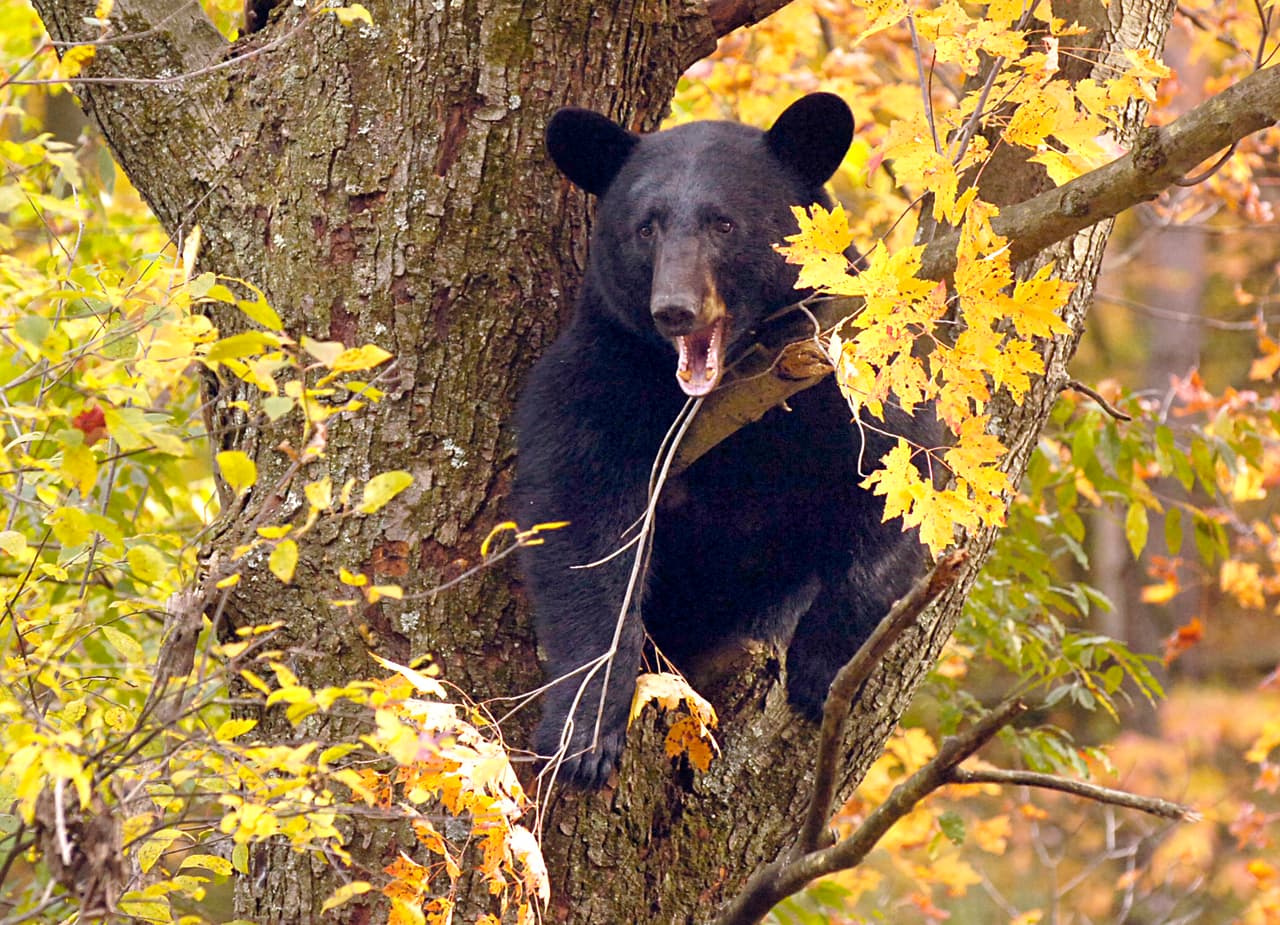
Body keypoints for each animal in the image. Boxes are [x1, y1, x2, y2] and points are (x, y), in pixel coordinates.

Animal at [514, 93, 936, 788]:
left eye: (724, 224)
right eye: (646, 228)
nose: (674, 309)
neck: (733, 387)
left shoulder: (846, 376)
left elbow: (900, 482)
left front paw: (821, 673)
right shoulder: (598, 381)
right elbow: (581, 531)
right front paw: (583, 737)